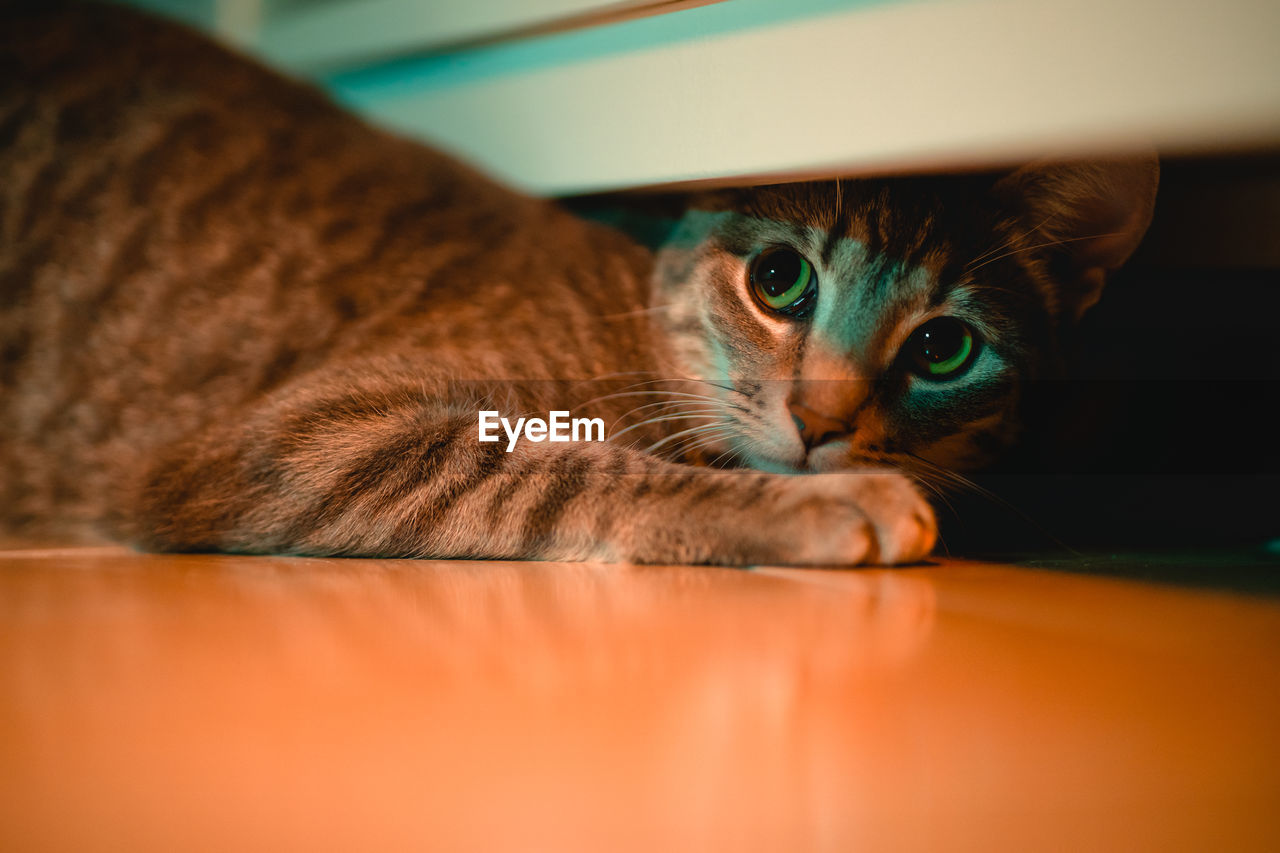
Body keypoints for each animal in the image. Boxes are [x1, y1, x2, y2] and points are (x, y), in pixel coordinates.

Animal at [0, 3, 1162, 568]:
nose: (823, 422)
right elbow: (568, 470)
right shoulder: (308, 432)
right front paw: (824, 504)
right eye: (778, 280)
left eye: (943, 348)